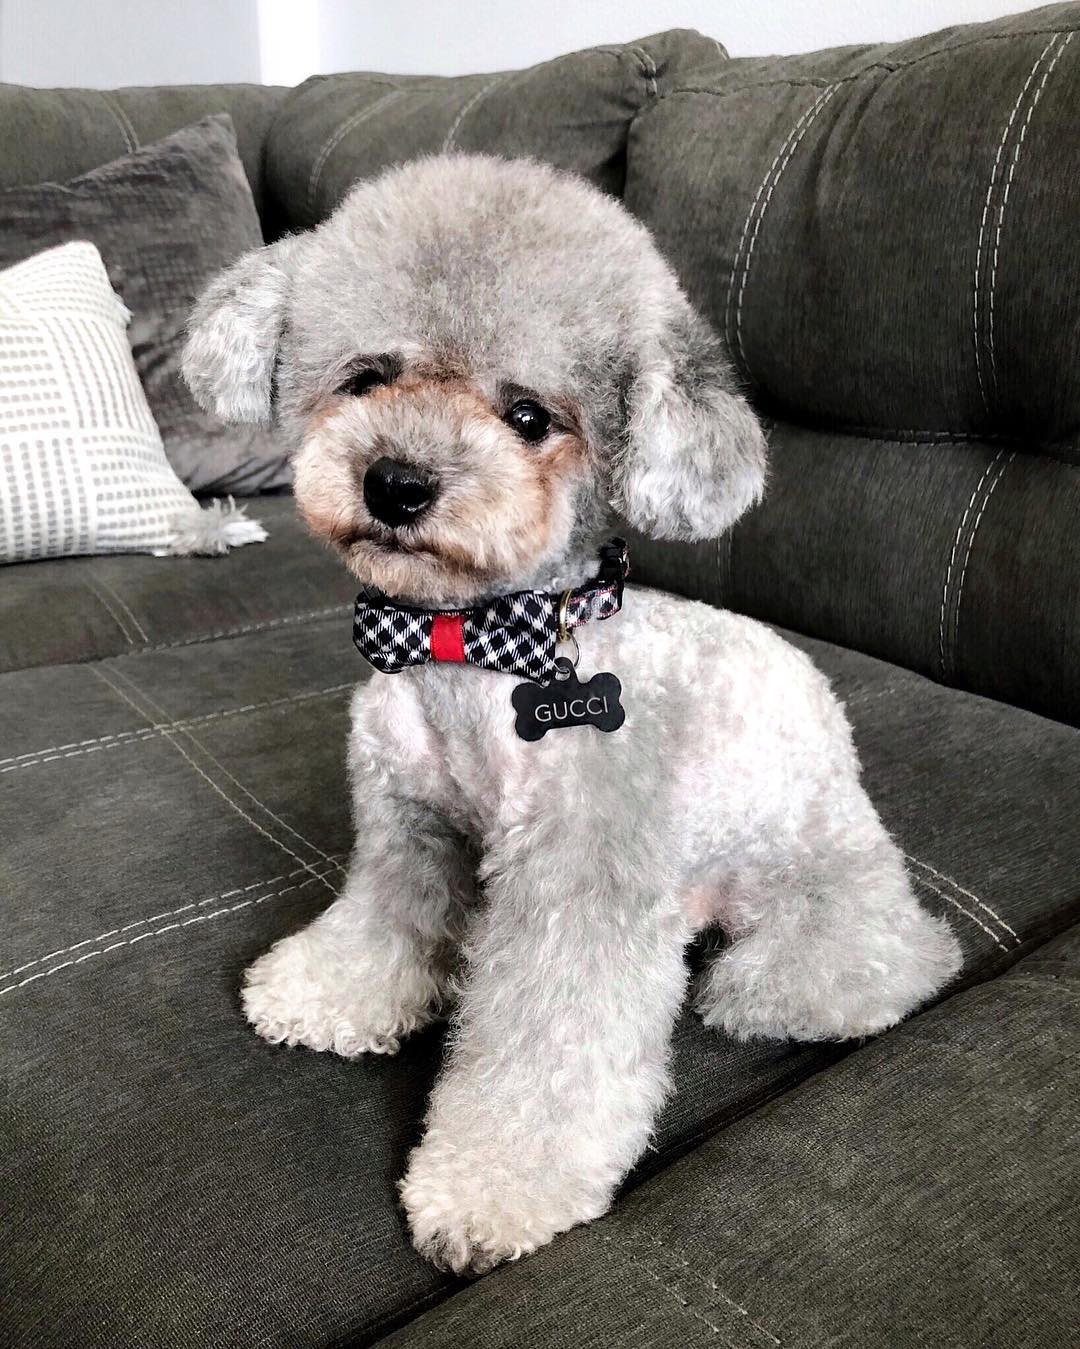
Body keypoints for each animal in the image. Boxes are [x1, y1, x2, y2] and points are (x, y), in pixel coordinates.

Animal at [183, 155, 960, 1273]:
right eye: (367, 377)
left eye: (528, 417)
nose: (396, 482)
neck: (467, 648)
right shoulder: (407, 826)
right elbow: (385, 919)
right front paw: (329, 990)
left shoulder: (578, 884)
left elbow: (546, 1049)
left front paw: (491, 1191)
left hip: (820, 875)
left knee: (878, 956)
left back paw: (790, 980)